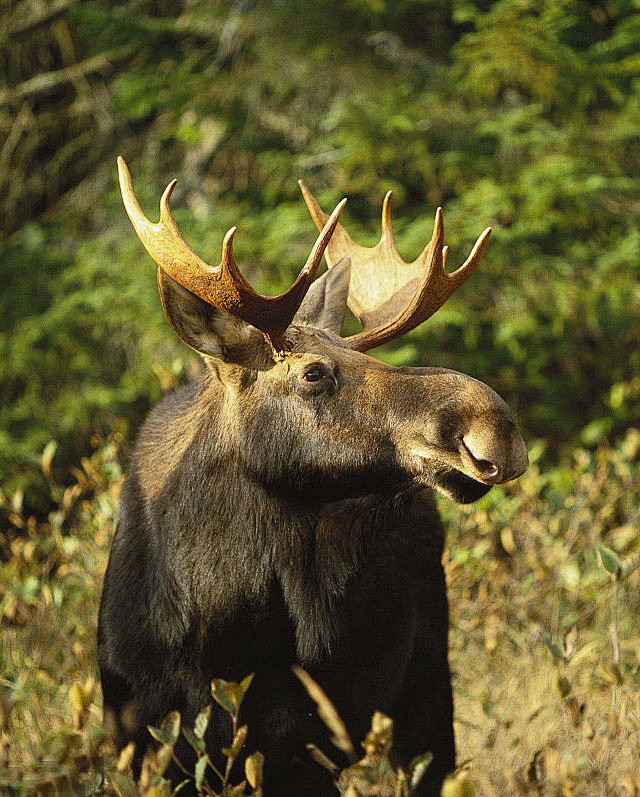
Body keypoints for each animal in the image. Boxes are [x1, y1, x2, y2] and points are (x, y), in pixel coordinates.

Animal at [97, 157, 528, 796]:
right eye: (314, 372)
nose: (494, 426)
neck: (214, 630)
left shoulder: (296, 745)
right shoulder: (139, 738)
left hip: (427, 684)